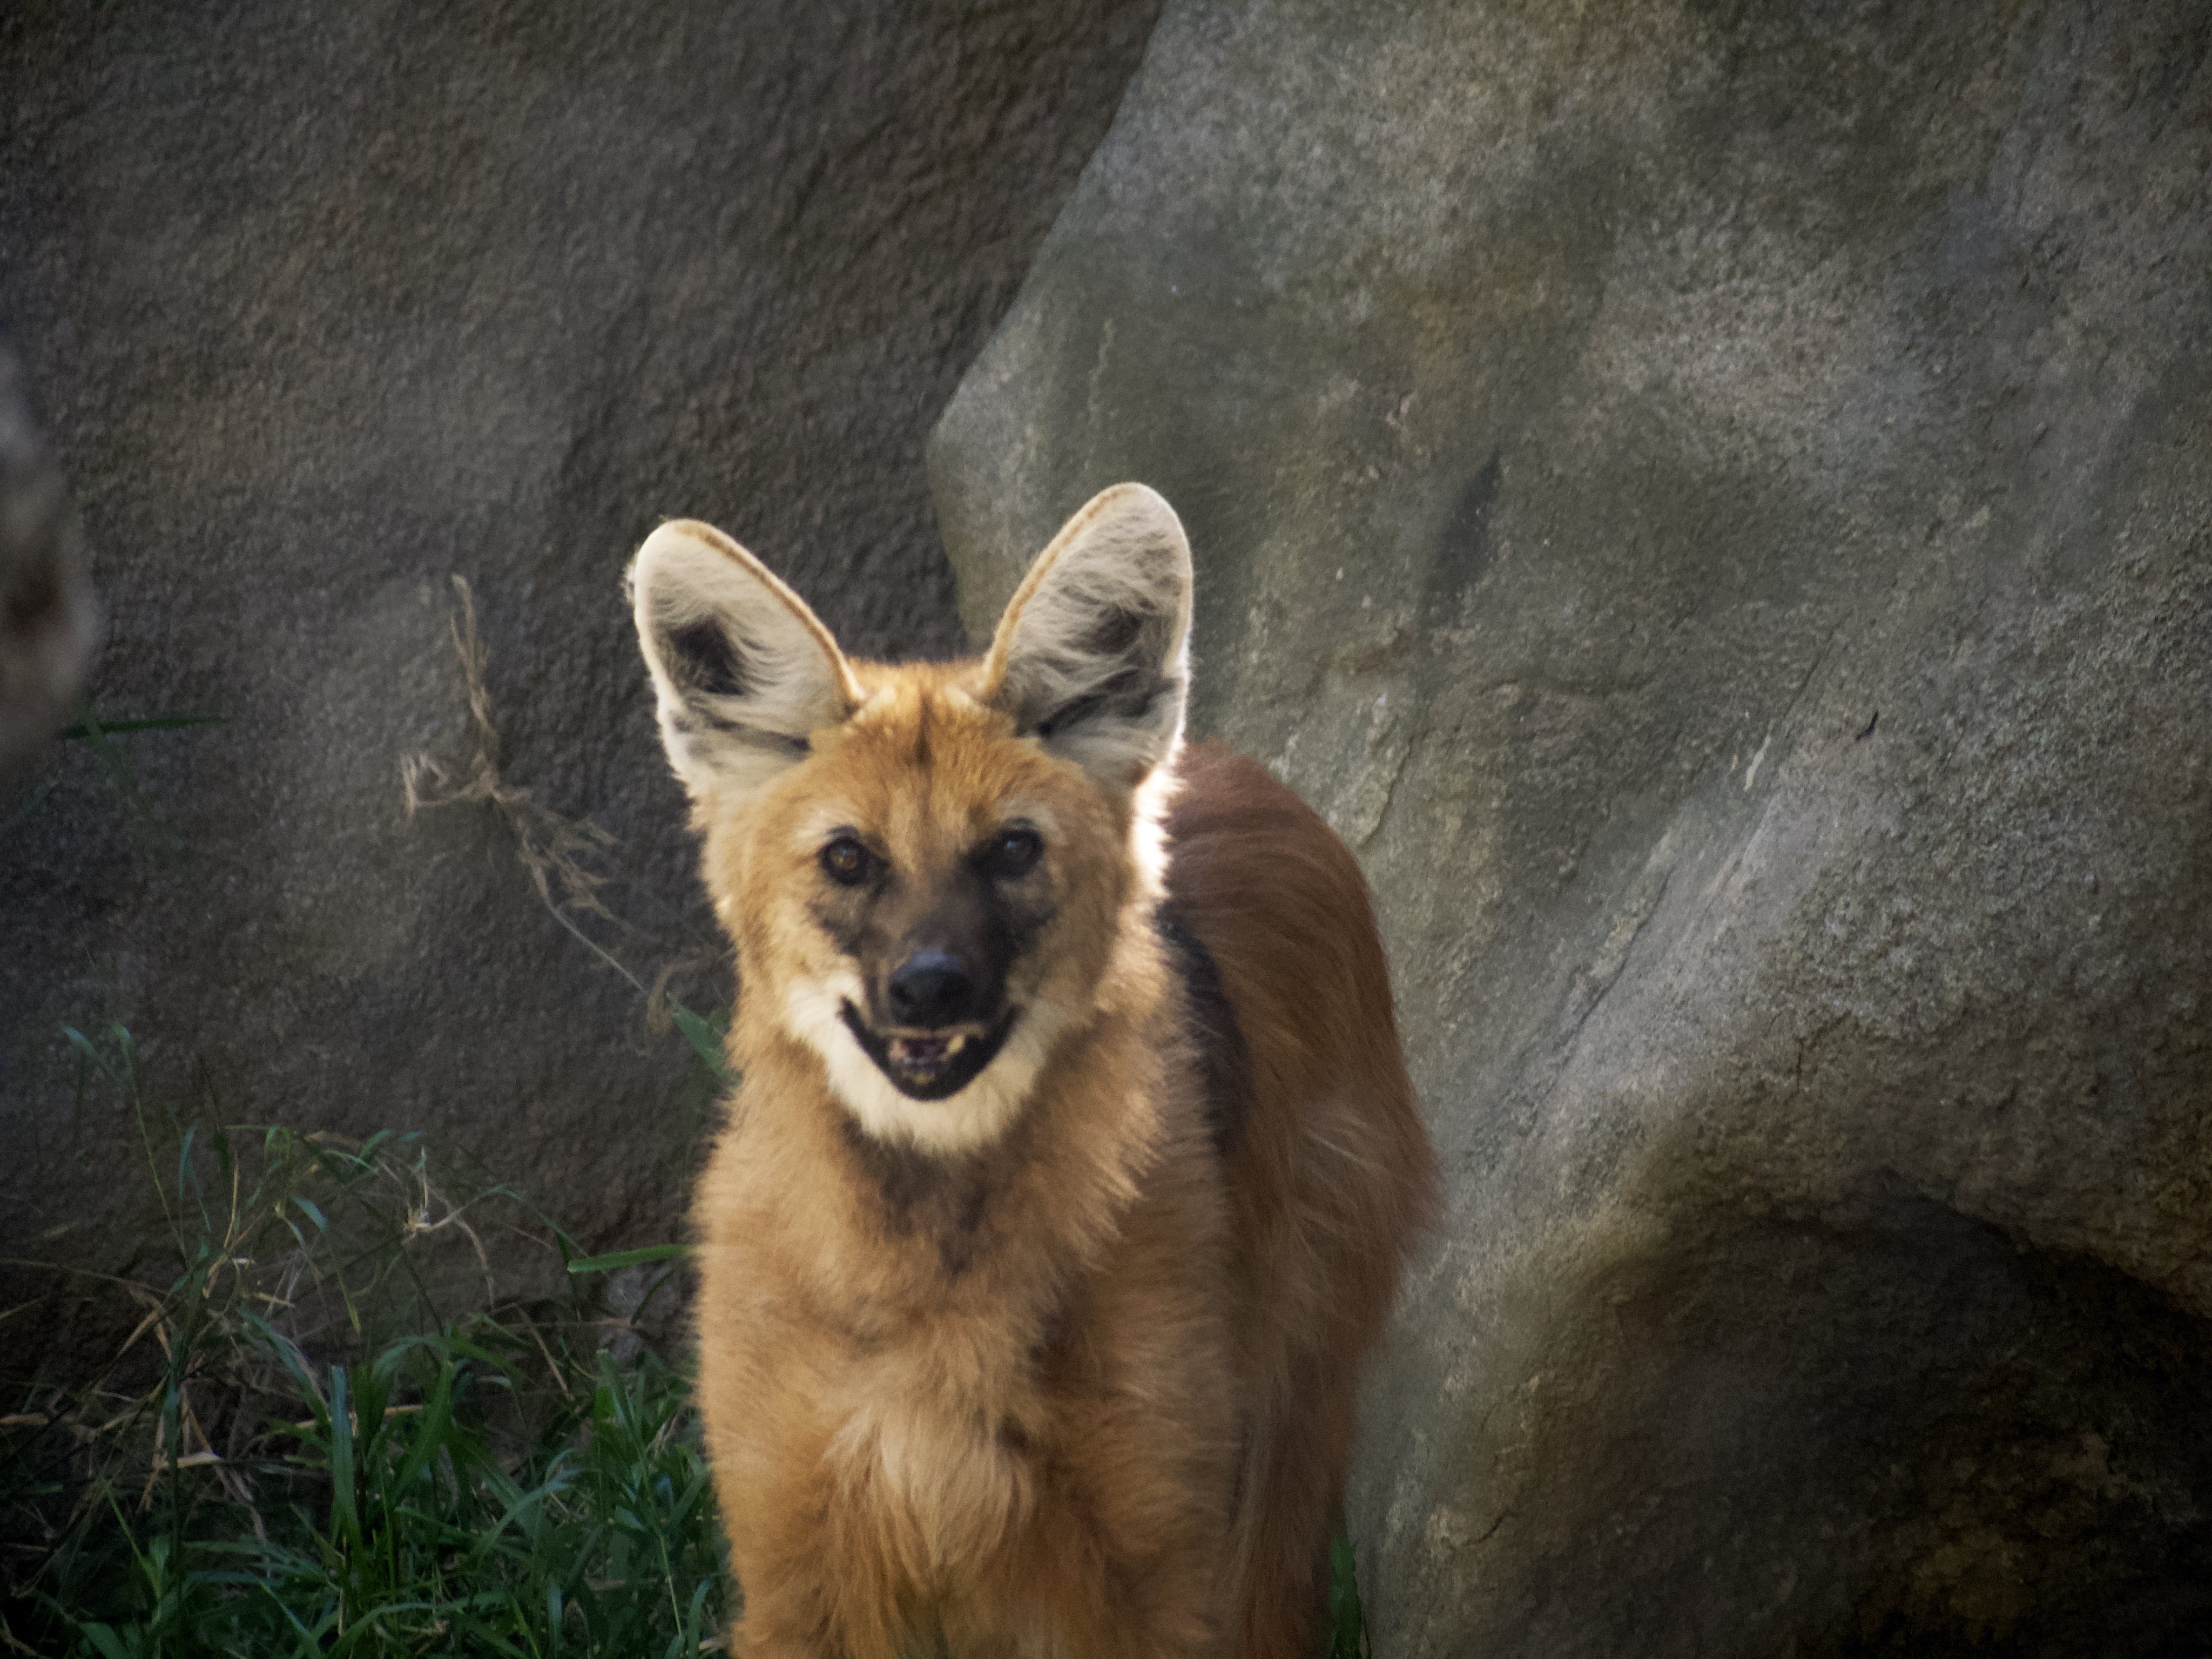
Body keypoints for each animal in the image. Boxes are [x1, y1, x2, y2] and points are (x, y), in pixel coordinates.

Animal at [628, 483, 1435, 1658]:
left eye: (1010, 850)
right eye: (848, 858)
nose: (929, 987)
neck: (939, 1291)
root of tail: (1228, 758)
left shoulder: (1149, 1564)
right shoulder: (799, 1560)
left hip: (1283, 1411)